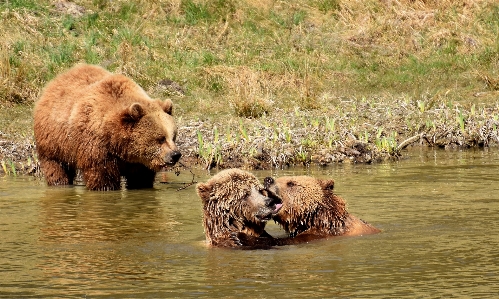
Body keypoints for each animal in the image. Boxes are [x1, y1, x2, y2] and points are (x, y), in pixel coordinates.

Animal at [33, 64, 182, 191]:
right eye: (160, 138)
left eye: (173, 136)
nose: (175, 155)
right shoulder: (97, 147)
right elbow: (102, 177)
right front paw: (105, 187)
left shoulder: (139, 161)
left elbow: (140, 179)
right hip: (55, 141)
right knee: (56, 167)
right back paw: (60, 182)